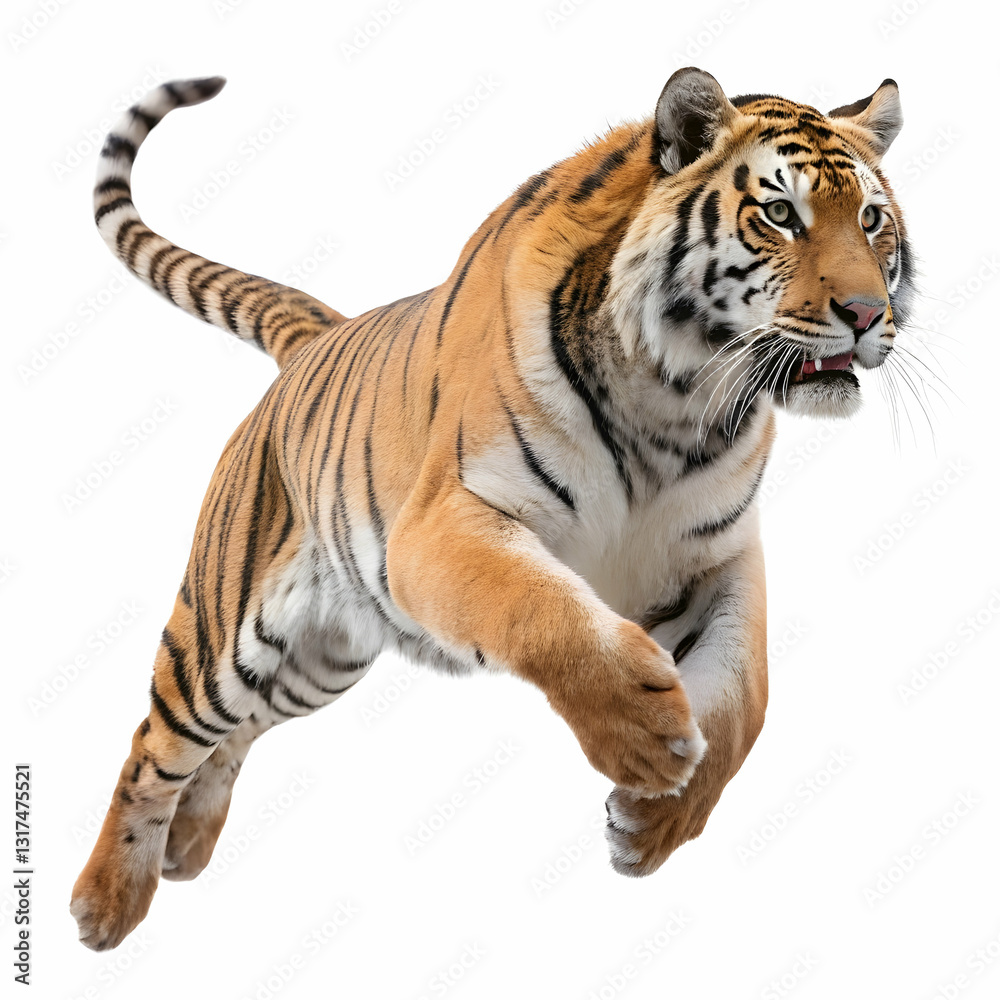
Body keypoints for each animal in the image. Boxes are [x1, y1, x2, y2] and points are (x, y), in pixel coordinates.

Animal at [71, 68, 913, 951]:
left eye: (871, 220)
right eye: (780, 214)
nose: (867, 314)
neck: (677, 403)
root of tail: (316, 338)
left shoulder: (719, 555)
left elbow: (748, 693)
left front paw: (658, 823)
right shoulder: (441, 526)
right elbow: (542, 608)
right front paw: (647, 741)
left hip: (319, 660)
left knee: (236, 733)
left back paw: (189, 844)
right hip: (220, 633)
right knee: (155, 744)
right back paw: (106, 901)